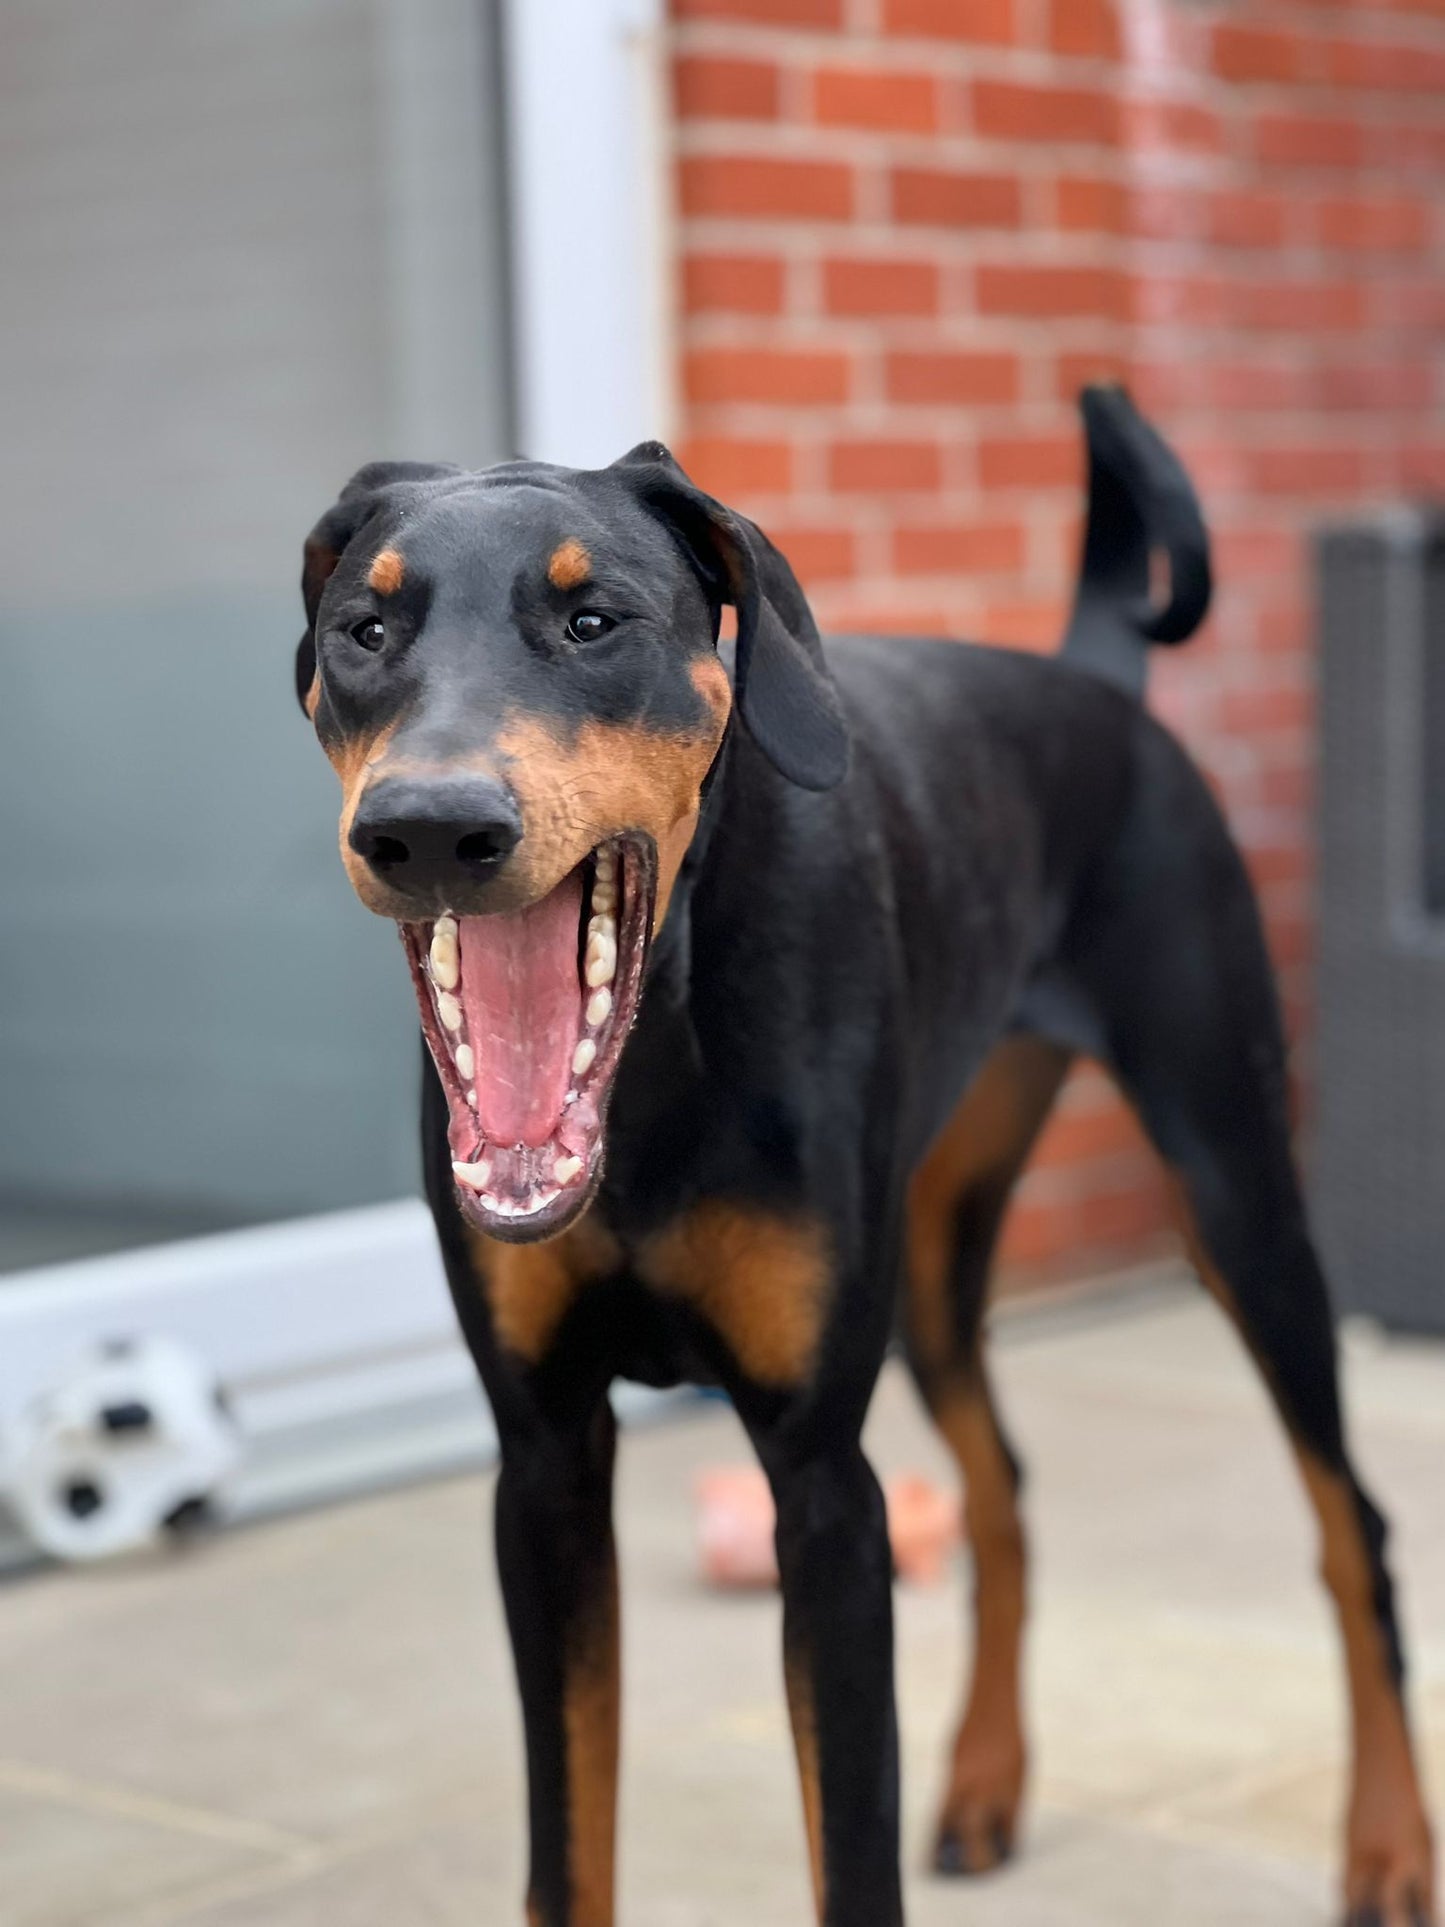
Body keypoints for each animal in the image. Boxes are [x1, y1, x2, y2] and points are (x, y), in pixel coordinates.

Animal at [294, 391, 1441, 1927]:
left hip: (1236, 1196)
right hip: (939, 1264)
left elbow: (848, 1849)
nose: (426, 827)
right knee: (1002, 1491)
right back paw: (984, 1781)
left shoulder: (821, 1488)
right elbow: (566, 1848)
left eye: (593, 621)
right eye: (365, 629)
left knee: (1348, 1525)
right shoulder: (540, 1468)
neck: (661, 1051)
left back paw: (1386, 1845)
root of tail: (1093, 682)